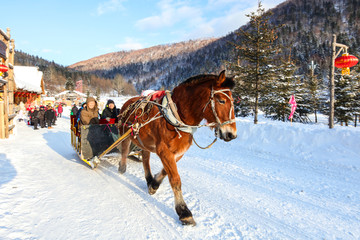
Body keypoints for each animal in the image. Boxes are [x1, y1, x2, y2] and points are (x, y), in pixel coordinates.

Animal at [117, 70, 236, 226]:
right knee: (125, 150)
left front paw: (154, 184)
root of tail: (127, 103)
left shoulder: (178, 152)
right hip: (125, 134)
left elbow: (165, 172)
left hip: (144, 140)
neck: (177, 116)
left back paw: (148, 179)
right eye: (221, 100)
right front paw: (184, 212)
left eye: (233, 101)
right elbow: (175, 179)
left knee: (145, 157)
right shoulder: (164, 151)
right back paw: (122, 167)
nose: (232, 134)